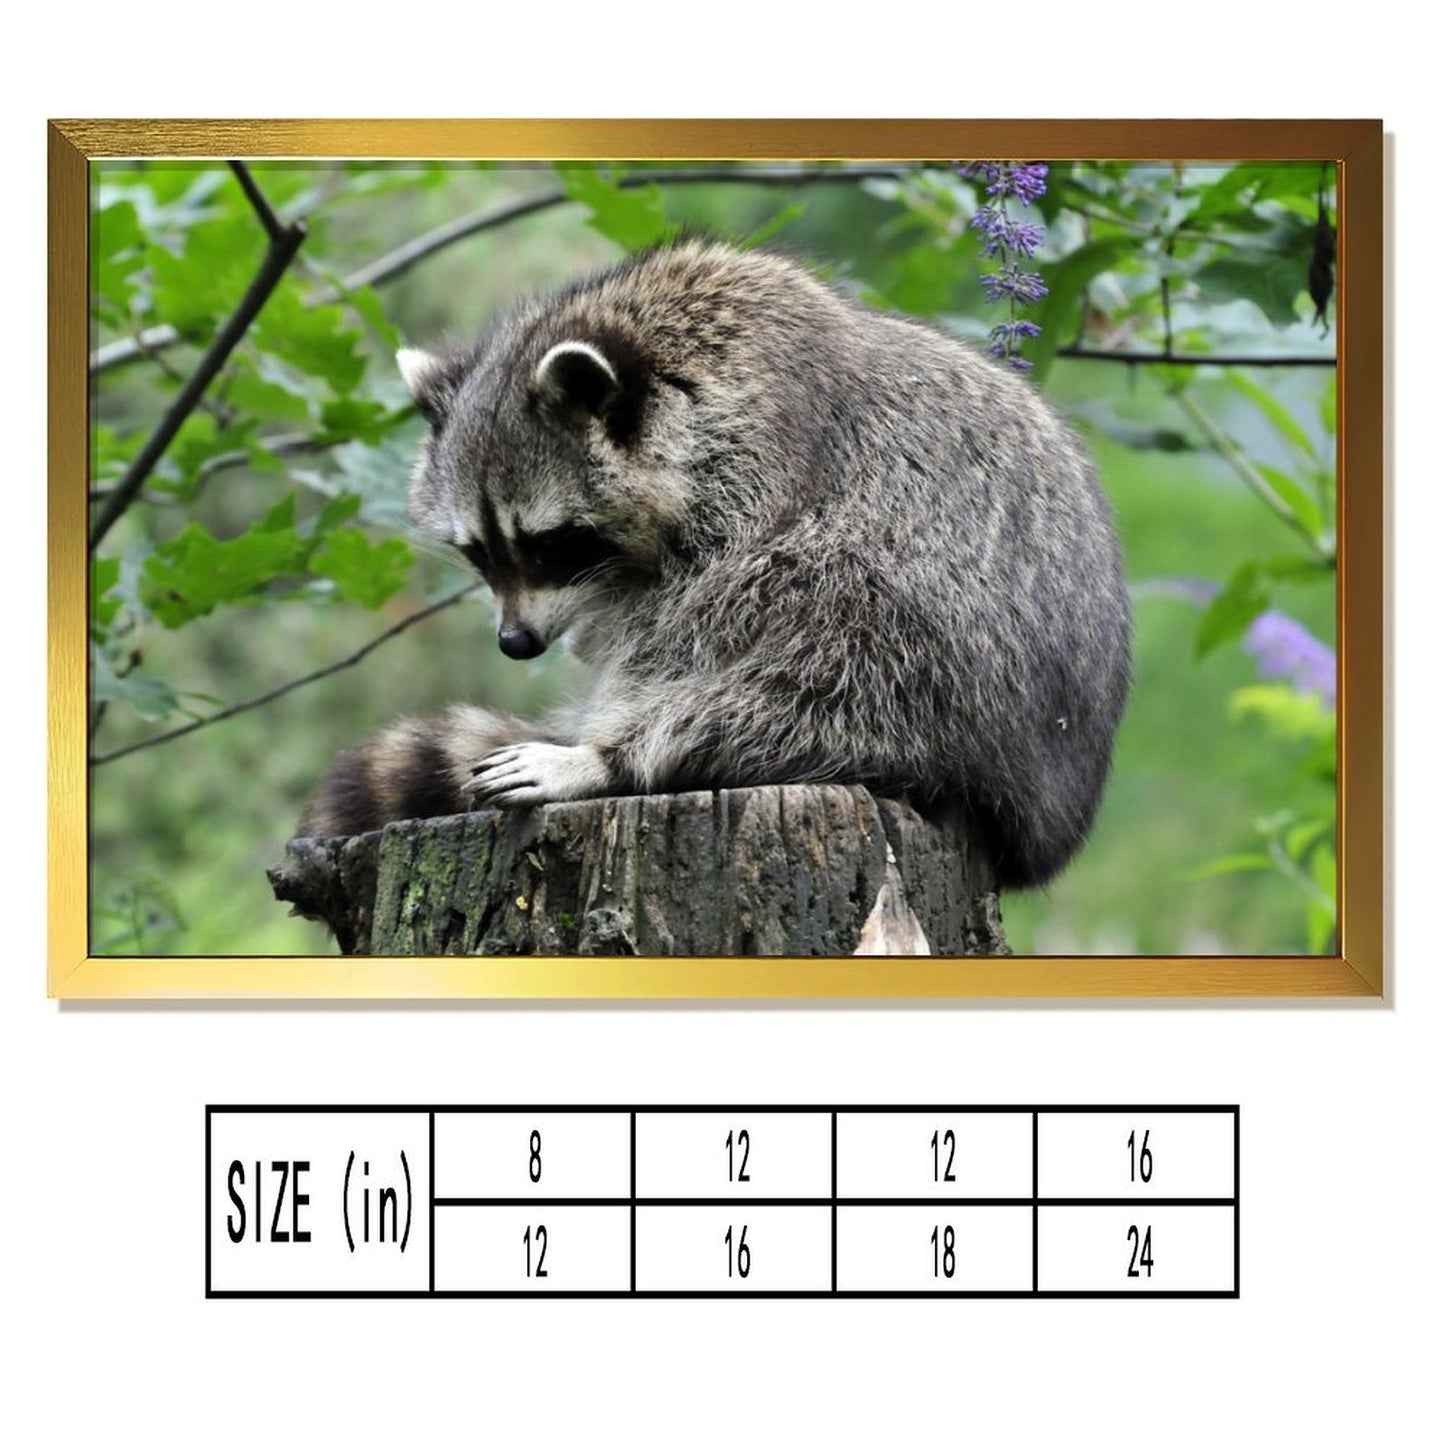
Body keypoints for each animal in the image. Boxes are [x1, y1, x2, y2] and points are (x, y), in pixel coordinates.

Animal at [300, 241, 1131, 889]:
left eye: (550, 544)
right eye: (477, 552)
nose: (514, 642)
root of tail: (1049, 816)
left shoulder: (764, 469)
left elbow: (691, 622)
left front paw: (607, 749)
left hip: (939, 655)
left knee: (825, 646)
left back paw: (623, 755)